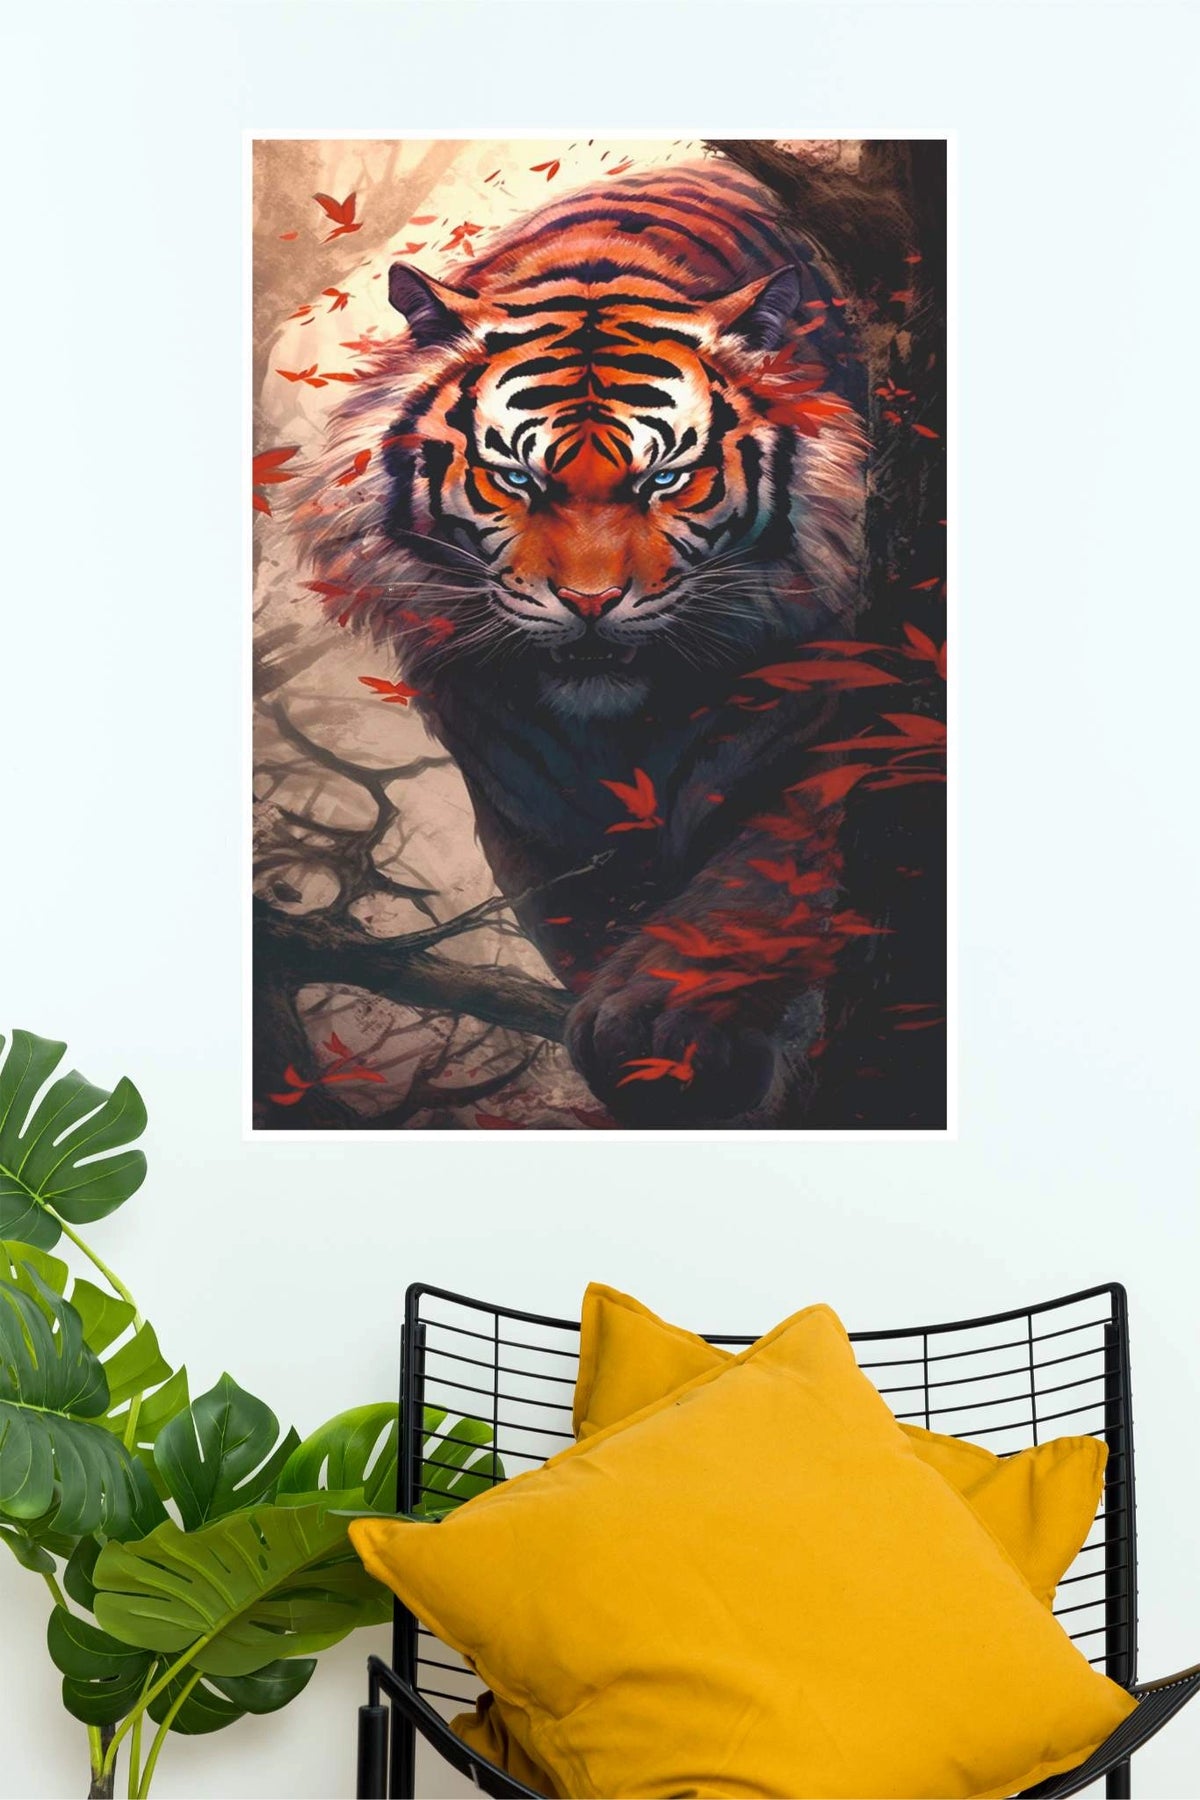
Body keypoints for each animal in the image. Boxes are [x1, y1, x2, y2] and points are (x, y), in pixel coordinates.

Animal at [291, 156, 876, 1127]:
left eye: (666, 478)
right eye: (516, 478)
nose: (591, 602)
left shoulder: (828, 711)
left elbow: (764, 869)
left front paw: (668, 1032)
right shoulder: (525, 803)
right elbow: (583, 923)